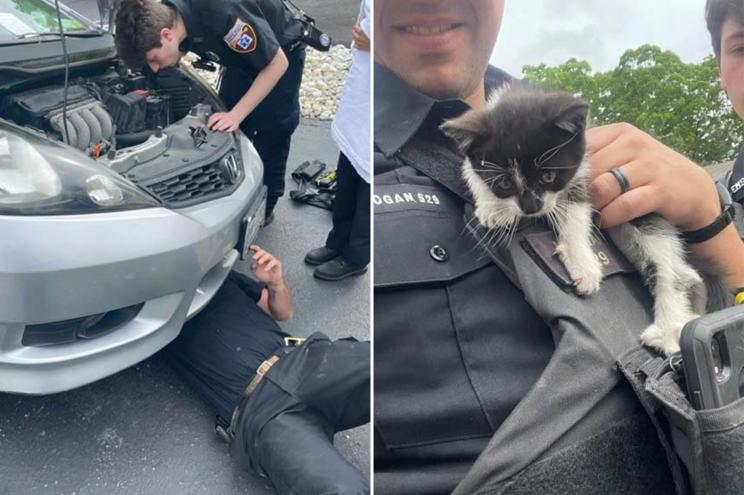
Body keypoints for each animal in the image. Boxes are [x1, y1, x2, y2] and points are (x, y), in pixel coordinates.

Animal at [442, 86, 708, 356]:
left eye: (549, 176)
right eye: (504, 183)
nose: (531, 207)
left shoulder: (585, 168)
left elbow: (576, 209)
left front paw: (582, 263)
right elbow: (470, 170)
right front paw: (491, 206)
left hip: (645, 218)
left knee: (673, 270)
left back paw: (668, 328)